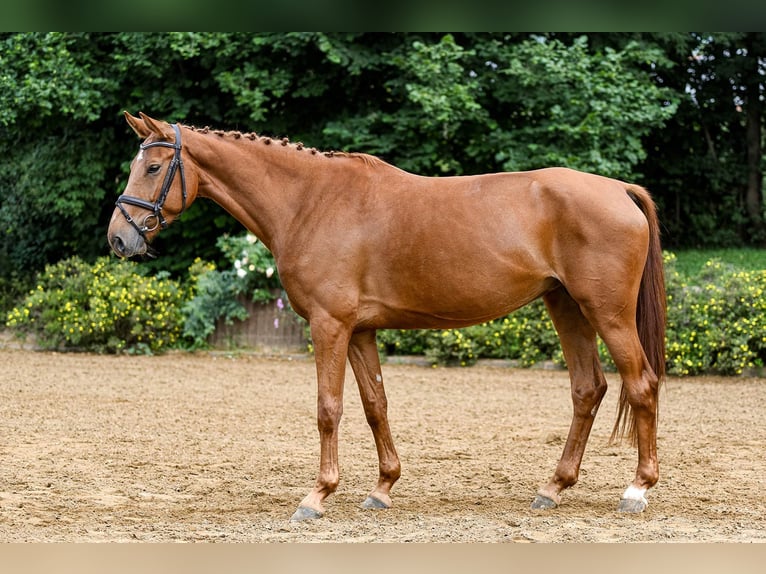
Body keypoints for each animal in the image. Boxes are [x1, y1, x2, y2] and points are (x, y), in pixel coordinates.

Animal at [108, 111, 664, 520]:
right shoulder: (360, 331)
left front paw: (317, 496)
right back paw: (553, 487)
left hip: (607, 314)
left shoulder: (329, 325)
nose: (119, 238)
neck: (310, 201)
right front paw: (382, 488)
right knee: (588, 389)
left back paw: (636, 490)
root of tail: (619, 189)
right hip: (566, 307)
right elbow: (376, 405)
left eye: (153, 168)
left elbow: (328, 408)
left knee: (641, 384)